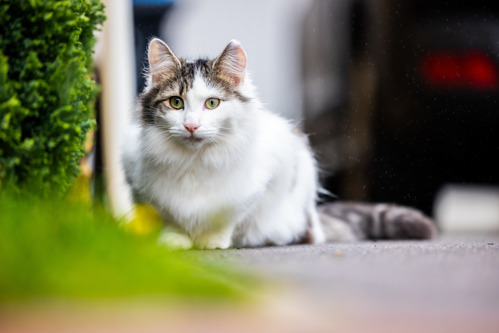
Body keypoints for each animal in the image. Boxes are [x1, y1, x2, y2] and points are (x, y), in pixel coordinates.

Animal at [122, 37, 438, 248]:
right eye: (176, 103)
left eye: (212, 103)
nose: (191, 125)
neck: (193, 161)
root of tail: (314, 219)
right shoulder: (141, 186)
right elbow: (169, 219)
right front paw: (175, 241)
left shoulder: (257, 185)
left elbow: (225, 218)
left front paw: (212, 242)